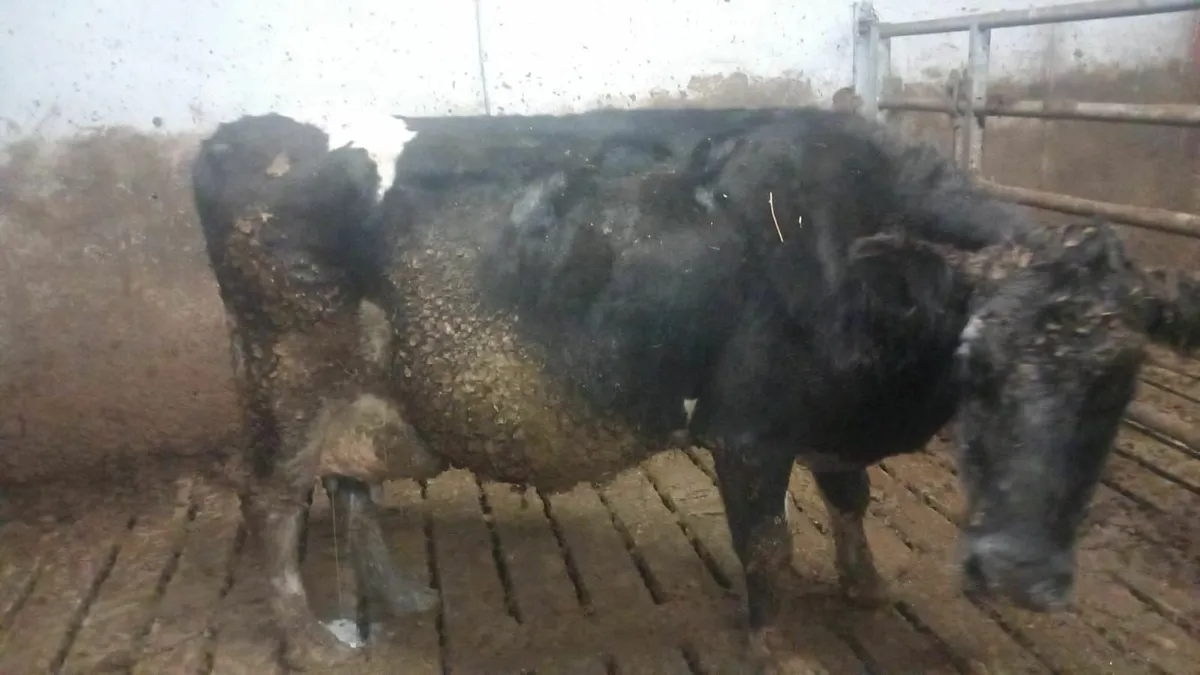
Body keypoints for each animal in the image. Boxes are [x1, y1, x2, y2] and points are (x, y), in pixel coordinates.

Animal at [191, 106, 1200, 670]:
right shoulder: (749, 429)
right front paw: (773, 644)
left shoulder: (827, 417)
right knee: (273, 500)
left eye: (1120, 382)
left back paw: (399, 596)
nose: (1017, 574)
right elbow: (768, 546)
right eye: (978, 365)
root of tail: (245, 132)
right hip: (288, 376)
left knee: (350, 482)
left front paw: (865, 584)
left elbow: (850, 496)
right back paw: (308, 639)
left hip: (366, 388)